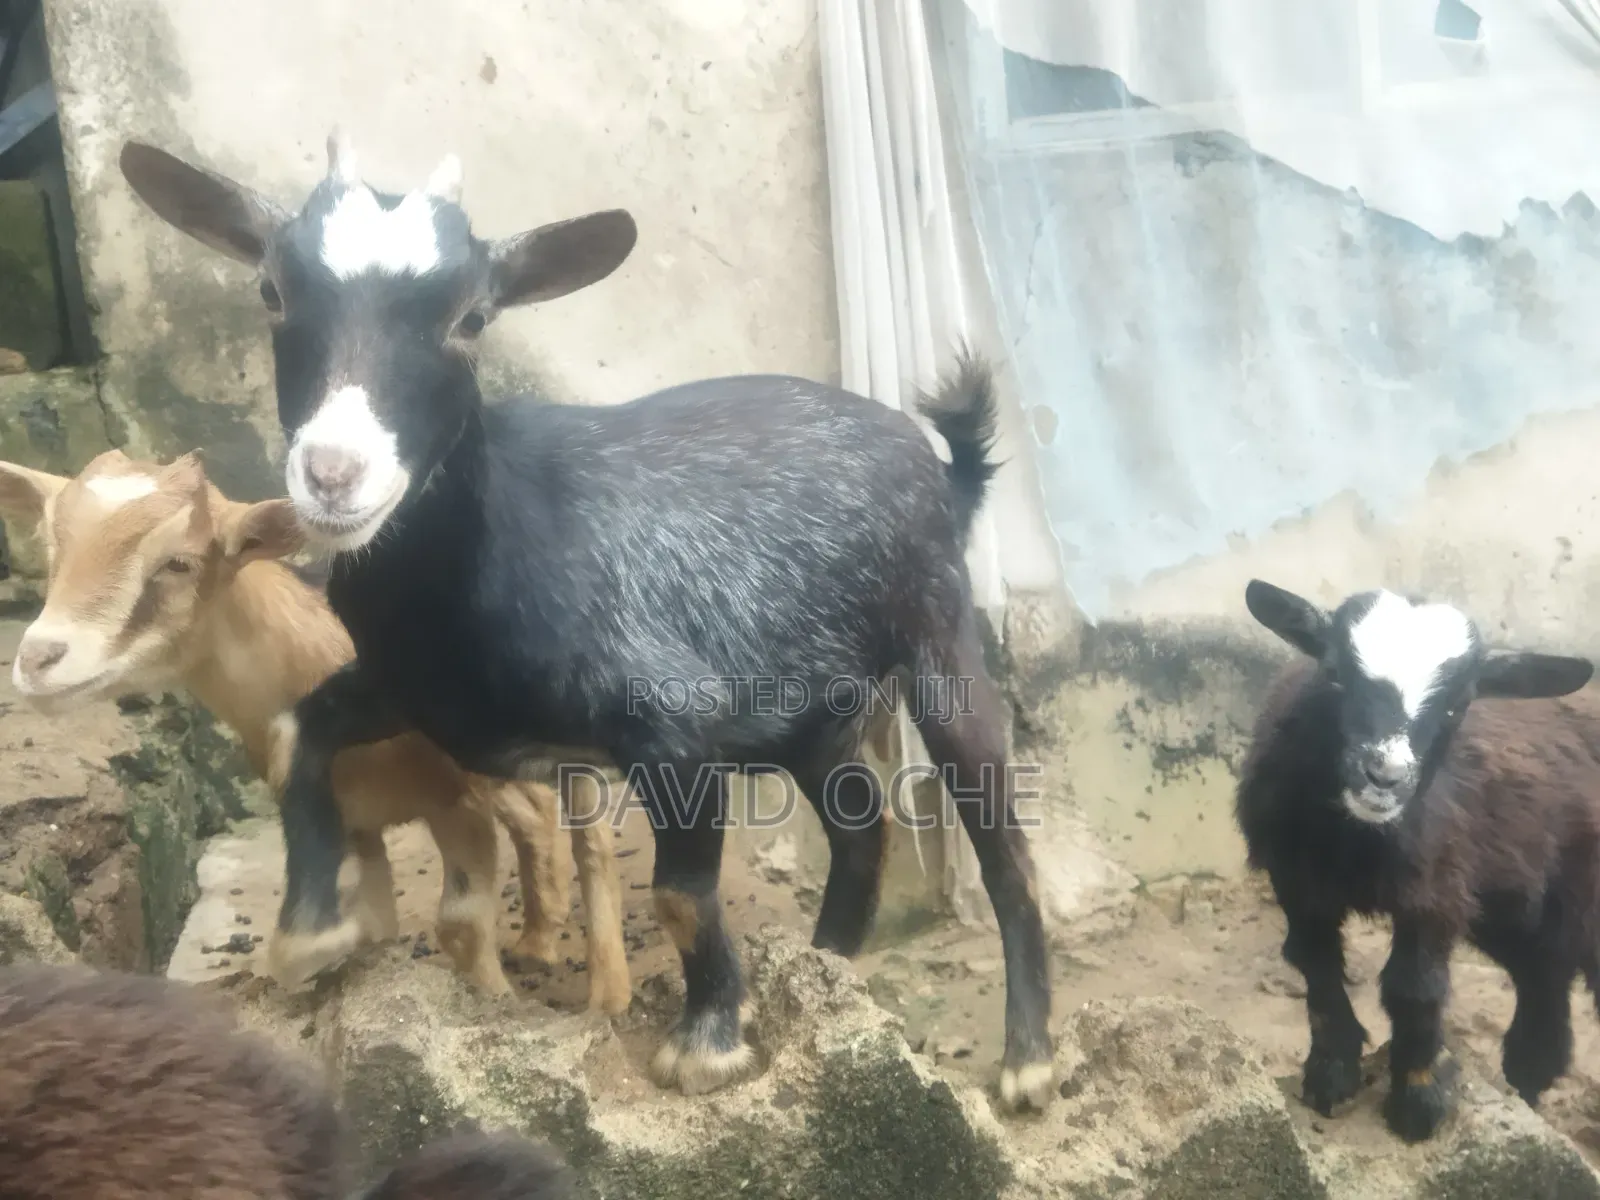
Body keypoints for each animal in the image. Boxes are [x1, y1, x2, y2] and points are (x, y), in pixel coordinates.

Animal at [0, 450, 629, 1012]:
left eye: (178, 563)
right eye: (53, 548)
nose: (37, 660)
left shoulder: (456, 800)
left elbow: (458, 923)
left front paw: (496, 1003)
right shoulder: (348, 813)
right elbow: (369, 918)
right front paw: (341, 947)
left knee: (590, 837)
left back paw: (607, 995)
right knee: (535, 811)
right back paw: (538, 942)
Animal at [114, 132, 1055, 1112]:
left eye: (472, 317)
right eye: (272, 290)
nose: (335, 475)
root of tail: (936, 464)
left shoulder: (677, 722)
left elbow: (679, 895)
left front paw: (706, 1046)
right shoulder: (412, 693)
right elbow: (298, 733)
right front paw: (309, 931)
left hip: (938, 636)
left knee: (1003, 840)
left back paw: (1026, 1062)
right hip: (803, 711)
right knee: (860, 821)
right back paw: (824, 968)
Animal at [1236, 578, 1599, 1143]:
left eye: (1459, 705)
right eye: (1333, 671)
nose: (1384, 776)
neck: (1354, 841)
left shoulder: (1437, 888)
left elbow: (1415, 989)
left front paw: (1418, 1103)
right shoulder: (1295, 878)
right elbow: (1314, 962)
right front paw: (1330, 1076)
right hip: (1522, 912)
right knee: (1544, 990)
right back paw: (1526, 1087)